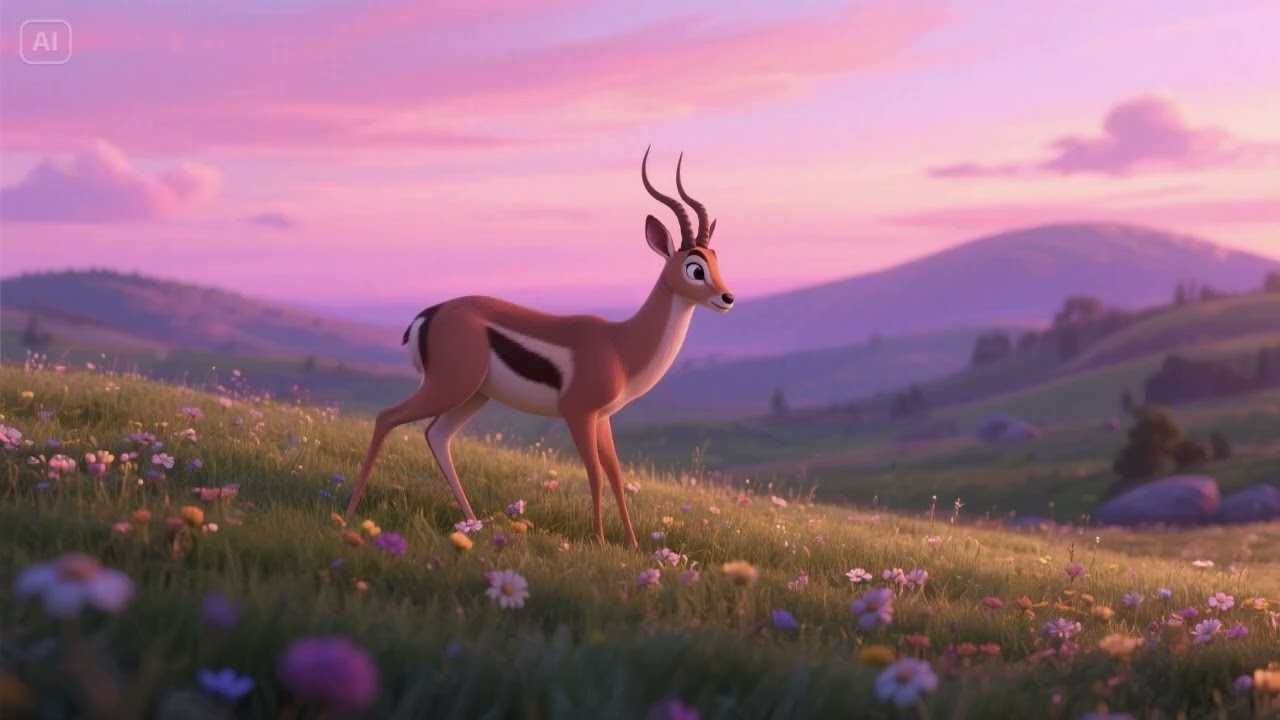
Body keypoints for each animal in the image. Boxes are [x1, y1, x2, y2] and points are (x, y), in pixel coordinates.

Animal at [344, 147, 734, 548]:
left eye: (716, 260)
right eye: (695, 268)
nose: (727, 298)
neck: (620, 346)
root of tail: (431, 313)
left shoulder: (603, 417)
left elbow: (616, 475)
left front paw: (634, 545)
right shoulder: (578, 413)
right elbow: (594, 473)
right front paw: (600, 542)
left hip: (473, 395)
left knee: (436, 436)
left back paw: (474, 523)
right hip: (449, 387)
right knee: (386, 417)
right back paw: (350, 514)